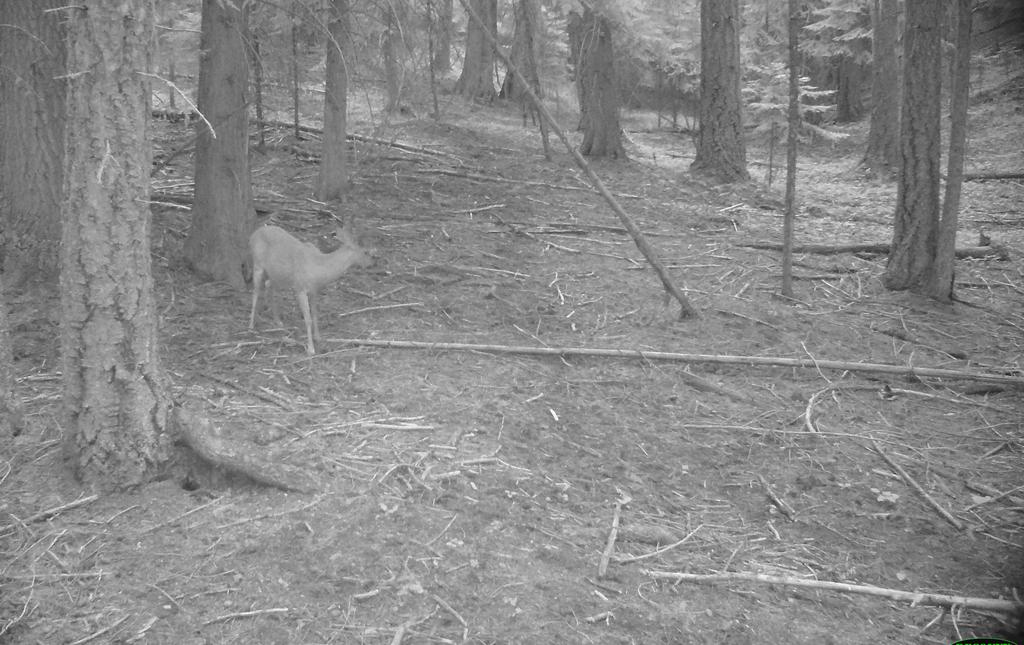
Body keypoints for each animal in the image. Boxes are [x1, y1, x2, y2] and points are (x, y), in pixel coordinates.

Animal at [248, 224, 373, 355]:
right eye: (366, 252)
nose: (372, 263)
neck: (319, 267)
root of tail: (254, 233)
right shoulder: (300, 288)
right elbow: (308, 319)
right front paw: (311, 348)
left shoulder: (314, 291)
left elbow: (315, 314)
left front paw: (318, 337)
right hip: (257, 263)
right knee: (256, 291)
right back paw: (251, 325)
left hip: (277, 274)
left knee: (268, 285)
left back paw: (278, 321)